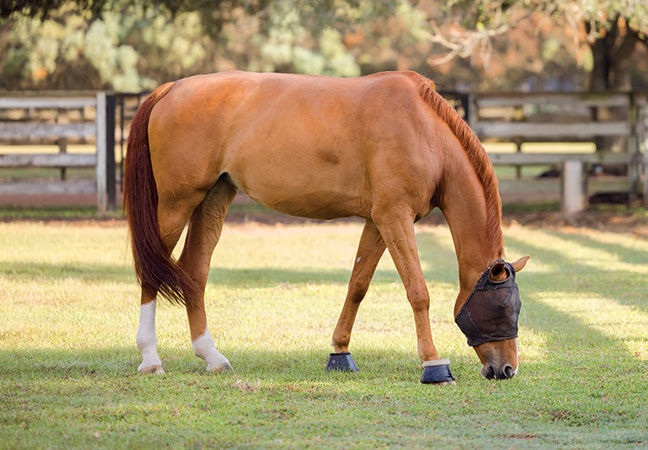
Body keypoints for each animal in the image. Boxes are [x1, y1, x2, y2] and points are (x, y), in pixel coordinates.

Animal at [123, 70, 529, 384]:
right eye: (503, 306)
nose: (507, 369)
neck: (422, 128)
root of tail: (171, 89)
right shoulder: (394, 217)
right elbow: (418, 291)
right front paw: (433, 364)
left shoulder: (378, 222)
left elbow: (357, 286)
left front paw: (340, 353)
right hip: (176, 204)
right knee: (150, 272)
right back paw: (150, 359)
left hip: (212, 200)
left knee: (195, 272)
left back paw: (211, 356)